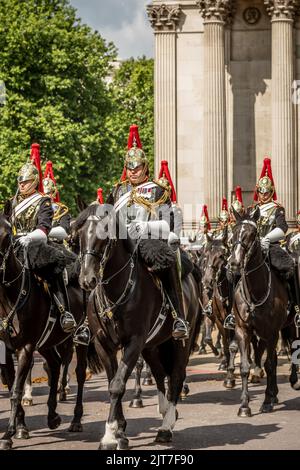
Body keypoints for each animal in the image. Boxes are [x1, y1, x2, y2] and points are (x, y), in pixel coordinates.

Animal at [0, 211, 87, 450]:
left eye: (5, 236)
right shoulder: (6, 348)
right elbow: (12, 386)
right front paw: (21, 428)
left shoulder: (26, 347)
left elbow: (16, 391)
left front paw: (9, 435)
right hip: (48, 341)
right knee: (55, 365)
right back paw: (52, 415)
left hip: (81, 337)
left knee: (79, 372)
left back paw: (75, 419)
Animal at [73, 204, 200, 450]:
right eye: (80, 234)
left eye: (106, 235)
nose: (87, 279)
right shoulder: (104, 344)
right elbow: (113, 382)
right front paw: (120, 431)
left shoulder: (134, 342)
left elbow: (118, 384)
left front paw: (110, 435)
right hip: (152, 345)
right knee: (160, 373)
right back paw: (165, 412)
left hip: (180, 341)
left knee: (176, 375)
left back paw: (165, 427)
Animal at [229, 208, 290, 414]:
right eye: (233, 232)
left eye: (252, 234)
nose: (234, 263)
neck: (256, 292)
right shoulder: (243, 330)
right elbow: (245, 367)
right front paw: (244, 405)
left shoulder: (271, 332)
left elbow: (270, 365)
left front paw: (266, 401)